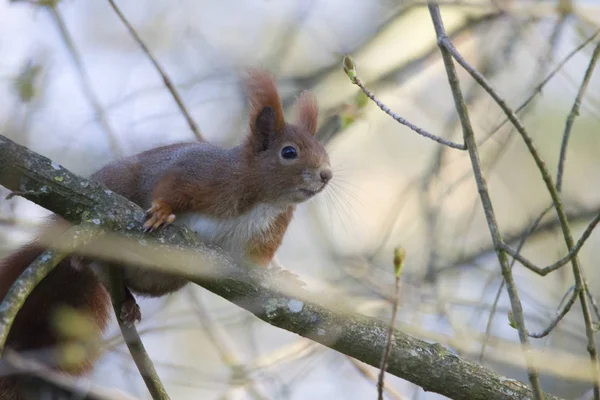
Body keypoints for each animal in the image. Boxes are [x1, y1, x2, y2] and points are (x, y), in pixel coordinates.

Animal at [0, 70, 332, 398]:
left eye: (324, 152)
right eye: (289, 152)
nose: (326, 175)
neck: (263, 198)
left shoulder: (267, 232)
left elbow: (253, 266)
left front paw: (280, 276)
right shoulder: (200, 173)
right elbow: (172, 188)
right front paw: (161, 211)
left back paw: (128, 302)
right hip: (114, 187)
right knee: (85, 261)